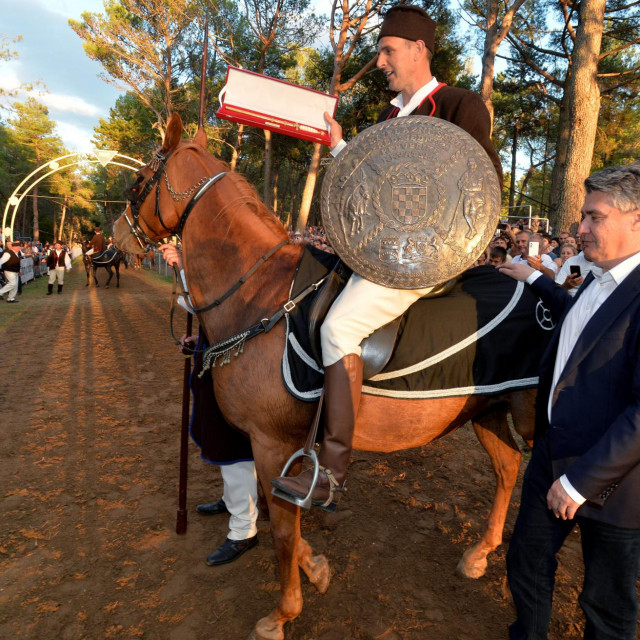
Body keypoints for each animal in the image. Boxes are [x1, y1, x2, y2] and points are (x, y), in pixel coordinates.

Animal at [114, 115, 536, 640]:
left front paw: (282, 613)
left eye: (137, 182)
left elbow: (281, 530)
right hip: (490, 409)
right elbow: (285, 524)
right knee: (508, 469)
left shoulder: (272, 442)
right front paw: (315, 568)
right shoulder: (275, 446)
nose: (116, 237)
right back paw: (479, 555)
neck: (258, 295)